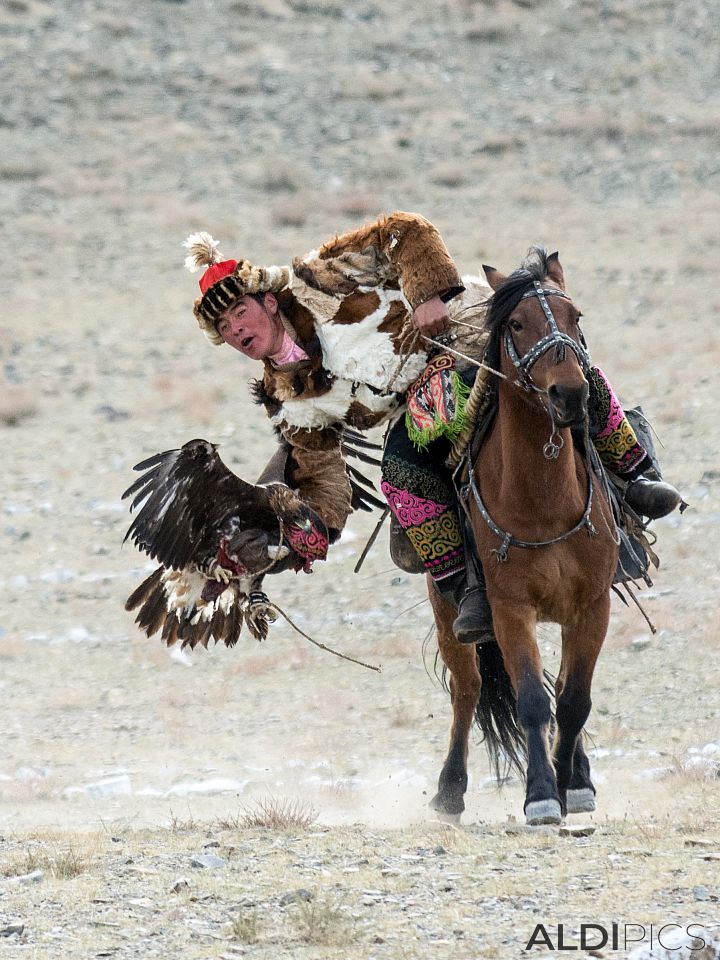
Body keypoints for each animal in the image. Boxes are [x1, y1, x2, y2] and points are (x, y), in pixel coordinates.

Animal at [428, 248, 620, 824]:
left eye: (576, 316)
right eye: (516, 323)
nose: (570, 393)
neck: (544, 503)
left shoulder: (592, 605)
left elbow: (573, 699)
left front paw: (571, 786)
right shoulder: (510, 607)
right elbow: (532, 699)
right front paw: (541, 795)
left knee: (562, 689)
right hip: (450, 613)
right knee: (468, 690)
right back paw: (449, 791)